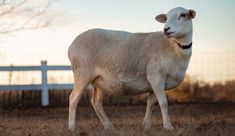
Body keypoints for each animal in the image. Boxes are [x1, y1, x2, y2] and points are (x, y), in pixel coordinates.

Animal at [68, 6, 196, 131]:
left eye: (183, 15)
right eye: (166, 17)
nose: (166, 29)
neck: (174, 47)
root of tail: (71, 46)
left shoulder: (155, 82)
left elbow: (151, 103)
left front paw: (146, 126)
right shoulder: (156, 76)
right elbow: (163, 103)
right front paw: (168, 126)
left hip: (98, 81)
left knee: (96, 103)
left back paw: (109, 126)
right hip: (82, 73)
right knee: (73, 99)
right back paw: (72, 128)